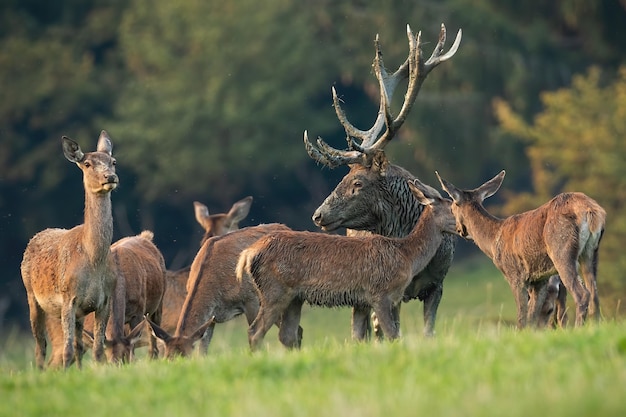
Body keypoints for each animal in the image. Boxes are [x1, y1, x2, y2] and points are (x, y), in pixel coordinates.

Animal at [20, 132, 118, 368]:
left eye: (113, 161)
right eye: (87, 164)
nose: (110, 177)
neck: (93, 259)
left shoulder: (105, 300)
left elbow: (98, 351)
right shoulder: (68, 298)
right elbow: (66, 351)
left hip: (80, 313)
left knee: (79, 346)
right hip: (31, 295)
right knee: (40, 347)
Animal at [234, 184, 454, 350]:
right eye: (453, 207)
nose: (461, 227)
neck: (407, 256)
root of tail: (248, 254)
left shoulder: (374, 299)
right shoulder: (379, 293)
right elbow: (392, 335)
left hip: (294, 297)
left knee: (287, 335)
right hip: (274, 290)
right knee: (255, 331)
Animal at [434, 171, 604, 326]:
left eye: (453, 207)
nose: (460, 229)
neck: (494, 240)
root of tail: (592, 211)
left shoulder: (515, 274)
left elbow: (522, 316)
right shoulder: (539, 279)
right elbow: (532, 317)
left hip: (561, 249)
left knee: (582, 294)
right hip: (591, 252)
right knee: (594, 292)